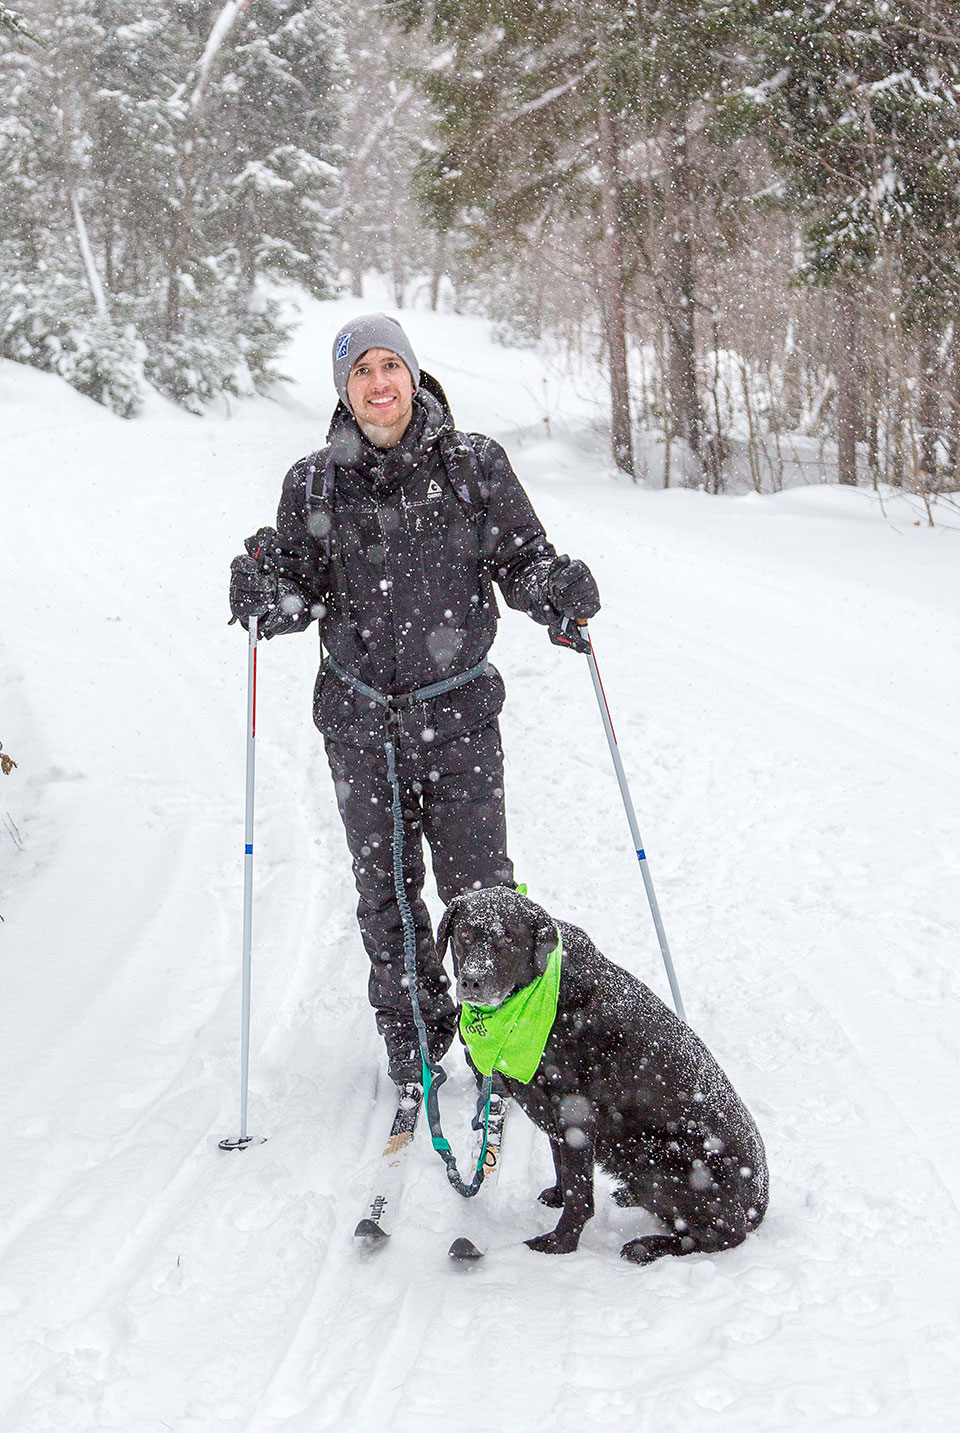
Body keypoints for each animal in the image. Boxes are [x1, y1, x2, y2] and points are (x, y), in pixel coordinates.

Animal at [441, 882, 773, 1266]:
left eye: (509, 938)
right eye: (465, 934)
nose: (473, 981)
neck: (538, 995)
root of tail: (759, 1204)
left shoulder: (575, 1114)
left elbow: (580, 1195)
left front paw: (560, 1244)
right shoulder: (554, 1116)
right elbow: (563, 1169)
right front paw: (557, 1195)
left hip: (661, 1160)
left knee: (719, 1235)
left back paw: (647, 1246)